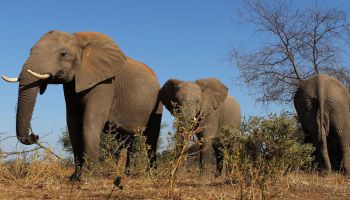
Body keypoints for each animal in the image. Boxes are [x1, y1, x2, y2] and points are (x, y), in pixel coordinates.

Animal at [1, 30, 163, 181]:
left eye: (63, 54)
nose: (34, 135)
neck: (78, 39)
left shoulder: (105, 82)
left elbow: (90, 120)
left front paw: (91, 178)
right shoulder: (72, 84)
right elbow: (73, 123)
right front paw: (75, 178)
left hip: (157, 101)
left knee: (150, 137)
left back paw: (149, 176)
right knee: (126, 139)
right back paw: (122, 175)